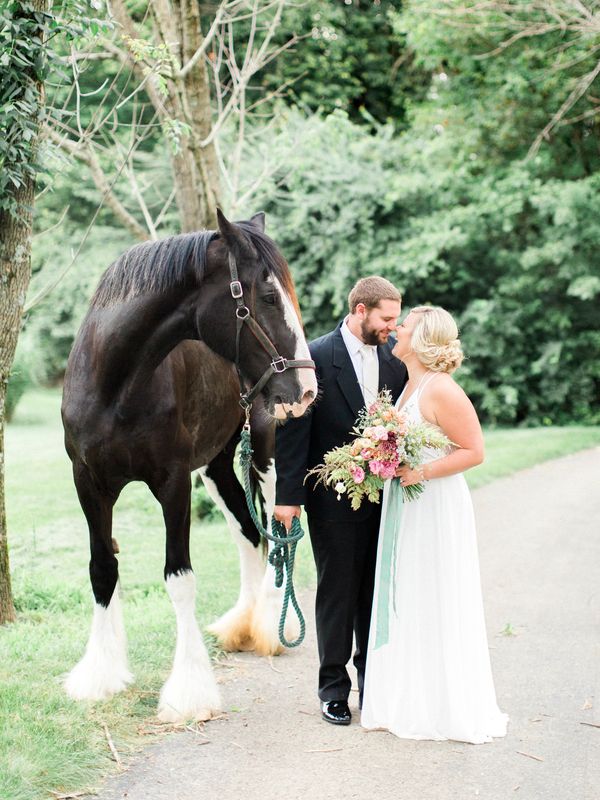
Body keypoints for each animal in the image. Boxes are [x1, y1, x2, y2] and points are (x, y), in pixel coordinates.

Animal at [61, 209, 318, 720]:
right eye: (266, 296)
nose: (305, 389)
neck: (114, 384)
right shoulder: (89, 482)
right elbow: (102, 567)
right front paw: (100, 674)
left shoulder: (173, 483)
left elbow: (179, 580)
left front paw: (189, 691)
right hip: (216, 468)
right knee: (248, 532)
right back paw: (241, 626)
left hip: (265, 456)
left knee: (276, 533)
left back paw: (269, 626)